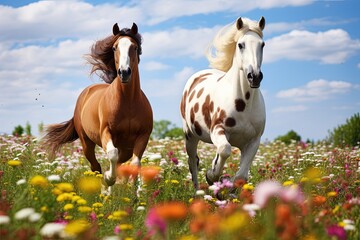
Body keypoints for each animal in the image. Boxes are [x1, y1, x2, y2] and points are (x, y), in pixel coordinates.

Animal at [42, 23, 153, 191]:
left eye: (134, 47)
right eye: (114, 47)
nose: (124, 72)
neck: (128, 102)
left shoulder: (143, 136)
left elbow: (135, 164)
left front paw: (131, 190)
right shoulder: (106, 132)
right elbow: (112, 154)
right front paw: (109, 178)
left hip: (126, 148)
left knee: (118, 163)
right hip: (87, 143)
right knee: (96, 167)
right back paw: (103, 187)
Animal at [181, 16, 266, 191]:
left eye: (262, 44)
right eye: (240, 45)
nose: (254, 76)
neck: (244, 103)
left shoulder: (253, 141)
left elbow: (241, 176)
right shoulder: (218, 130)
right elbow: (225, 150)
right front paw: (211, 176)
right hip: (190, 135)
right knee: (193, 161)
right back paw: (197, 191)